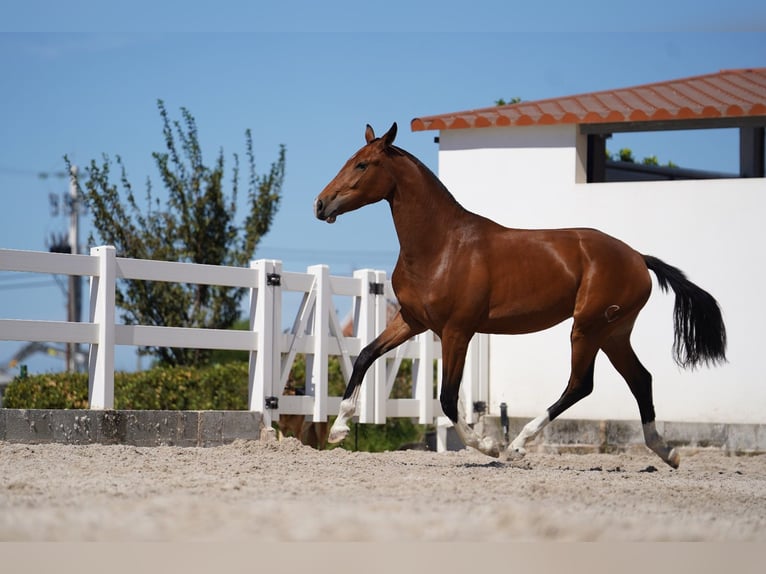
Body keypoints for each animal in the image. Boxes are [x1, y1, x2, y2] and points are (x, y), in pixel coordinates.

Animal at [314, 122, 728, 468]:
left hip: (587, 328)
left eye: (363, 165)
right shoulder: (412, 321)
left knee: (581, 384)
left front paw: (488, 446)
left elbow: (447, 398)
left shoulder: (457, 331)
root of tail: (638, 258)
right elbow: (365, 356)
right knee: (640, 380)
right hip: (613, 333)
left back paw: (517, 446)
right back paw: (667, 452)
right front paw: (337, 429)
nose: (321, 203)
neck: (442, 245)